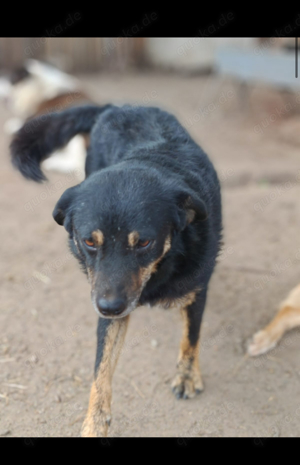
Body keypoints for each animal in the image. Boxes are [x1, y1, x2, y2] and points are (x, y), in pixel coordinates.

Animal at [10, 102, 221, 436]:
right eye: (89, 241)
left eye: (144, 242)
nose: (109, 307)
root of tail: (117, 105)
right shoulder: (106, 299)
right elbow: (102, 365)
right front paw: (95, 420)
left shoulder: (196, 289)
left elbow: (191, 335)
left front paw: (187, 376)